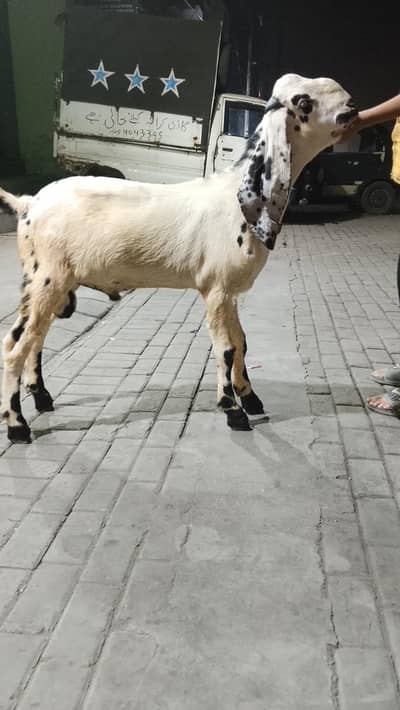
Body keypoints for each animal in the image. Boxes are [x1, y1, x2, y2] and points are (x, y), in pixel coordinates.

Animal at [0, 73, 357, 443]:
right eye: (303, 102)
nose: (351, 108)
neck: (235, 197)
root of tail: (28, 203)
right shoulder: (215, 289)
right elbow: (225, 348)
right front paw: (233, 411)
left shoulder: (229, 292)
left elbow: (241, 341)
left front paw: (250, 398)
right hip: (48, 280)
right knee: (14, 346)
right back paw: (17, 426)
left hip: (46, 284)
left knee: (34, 339)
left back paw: (42, 398)